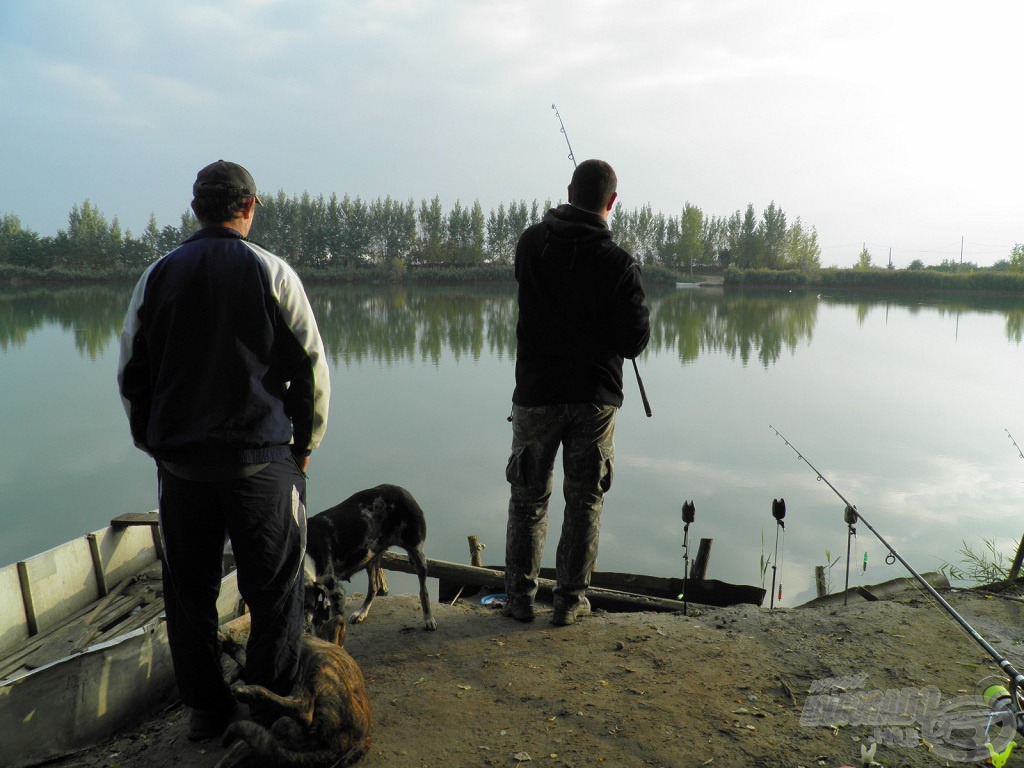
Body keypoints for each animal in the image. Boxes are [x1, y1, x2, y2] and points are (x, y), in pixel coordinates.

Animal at [215, 618, 372, 768]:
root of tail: (338, 746)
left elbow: (242, 656)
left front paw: (227, 643)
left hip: (321, 663)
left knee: (304, 710)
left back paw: (249, 692)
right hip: (275, 733)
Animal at [299, 487, 436, 630]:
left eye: (308, 606)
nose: (303, 628)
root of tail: (402, 490)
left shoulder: (337, 592)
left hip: (417, 554)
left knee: (423, 591)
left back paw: (429, 618)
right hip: (371, 559)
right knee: (374, 588)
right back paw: (361, 612)